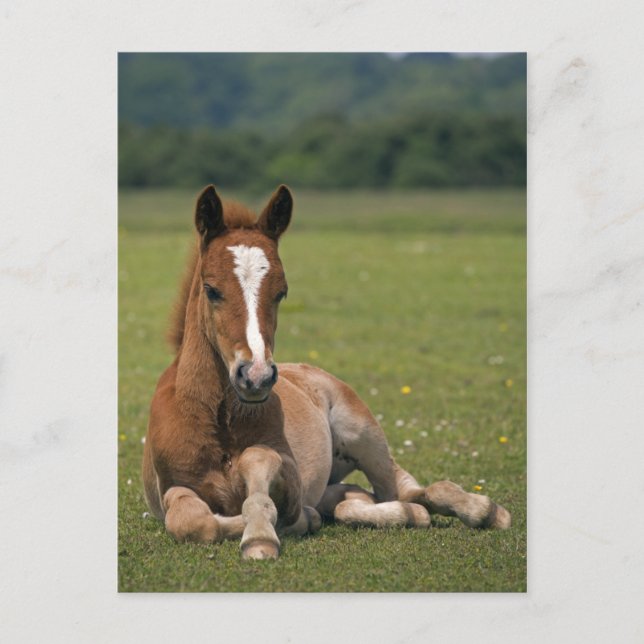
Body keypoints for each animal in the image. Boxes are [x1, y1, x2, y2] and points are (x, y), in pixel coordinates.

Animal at [142, 184, 511, 560]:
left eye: (281, 292)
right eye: (212, 290)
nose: (256, 376)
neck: (218, 421)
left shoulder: (291, 476)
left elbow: (260, 471)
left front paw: (263, 534)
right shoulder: (170, 487)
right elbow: (193, 521)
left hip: (364, 433)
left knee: (406, 489)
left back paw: (484, 510)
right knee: (360, 500)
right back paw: (398, 514)